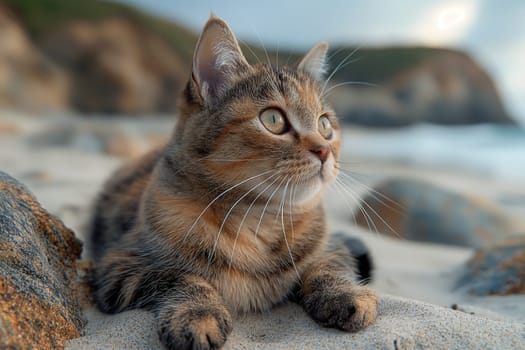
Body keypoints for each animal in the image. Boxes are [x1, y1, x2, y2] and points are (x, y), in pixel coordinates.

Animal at [90, 15, 376, 350]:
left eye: (325, 124)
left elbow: (328, 266)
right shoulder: (120, 266)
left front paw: (346, 293)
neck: (261, 219)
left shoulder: (330, 246)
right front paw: (198, 315)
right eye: (274, 120)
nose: (324, 150)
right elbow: (182, 277)